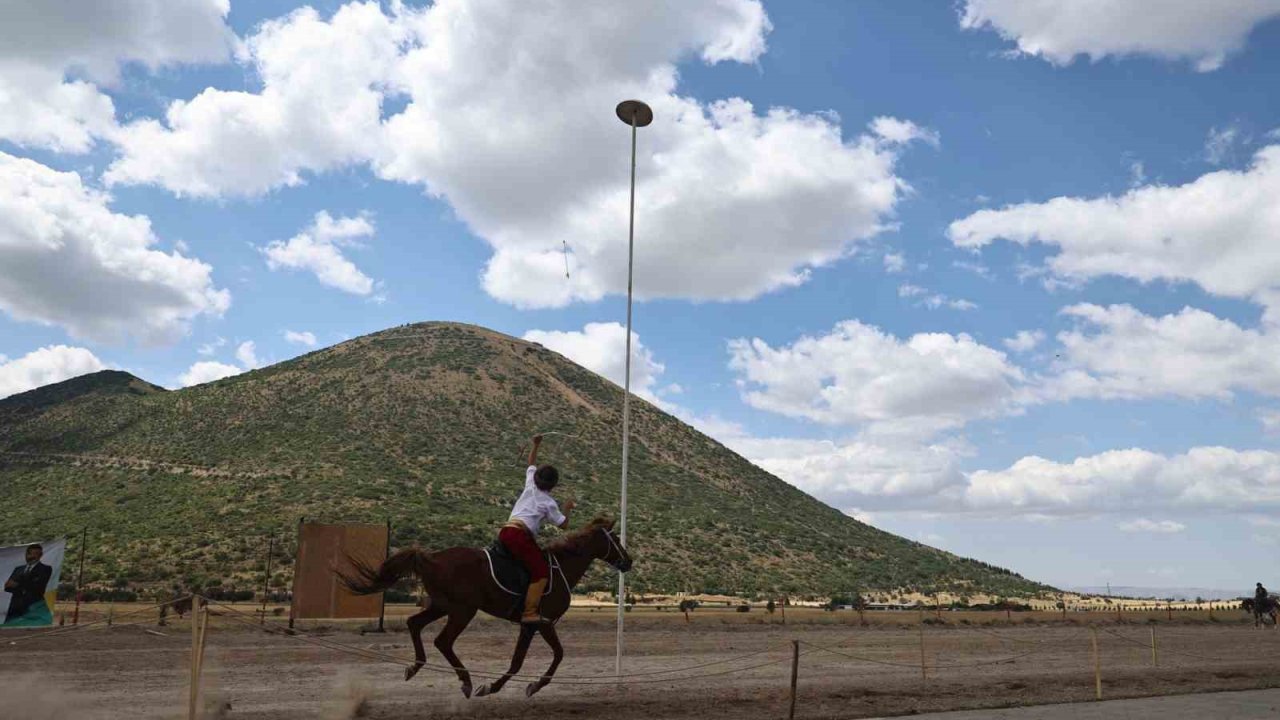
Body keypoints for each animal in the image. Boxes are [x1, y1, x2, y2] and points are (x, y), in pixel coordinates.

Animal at [340, 515, 629, 696]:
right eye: (615, 538)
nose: (629, 561)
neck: (561, 568)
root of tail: (430, 558)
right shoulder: (541, 624)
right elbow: (554, 656)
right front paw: (524, 686)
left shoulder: (530, 626)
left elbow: (520, 661)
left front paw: (497, 686)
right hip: (462, 611)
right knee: (443, 641)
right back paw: (466, 681)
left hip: (442, 606)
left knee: (414, 624)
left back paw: (415, 666)